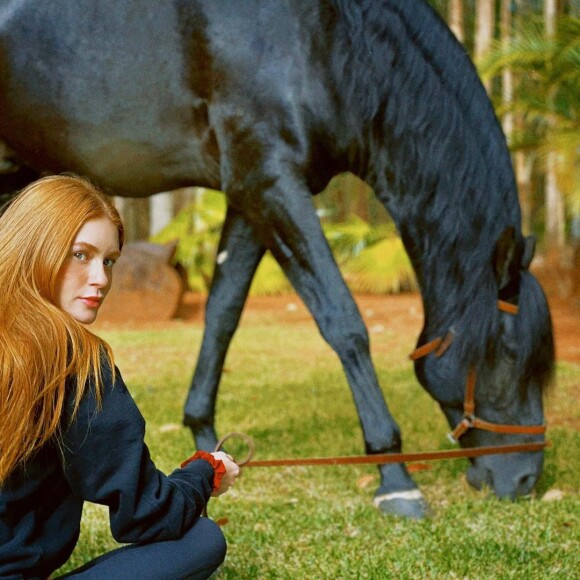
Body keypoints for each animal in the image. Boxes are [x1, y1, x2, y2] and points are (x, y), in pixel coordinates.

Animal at [0, 0, 552, 516]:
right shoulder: (268, 182)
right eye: (508, 354)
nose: (525, 479)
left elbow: (223, 312)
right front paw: (395, 477)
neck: (327, 38)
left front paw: (205, 437)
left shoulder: (250, 195)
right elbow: (344, 323)